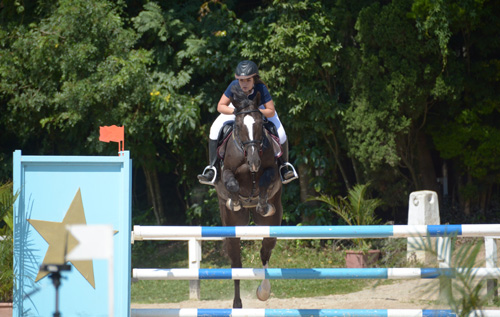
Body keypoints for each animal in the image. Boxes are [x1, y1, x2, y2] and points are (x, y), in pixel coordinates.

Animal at [214, 82, 284, 308]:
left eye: (260, 124)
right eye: (239, 125)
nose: (254, 162)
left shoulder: (270, 171)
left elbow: (263, 181)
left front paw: (262, 203)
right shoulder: (227, 171)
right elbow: (232, 183)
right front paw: (235, 200)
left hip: (270, 223)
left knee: (265, 252)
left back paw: (263, 292)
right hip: (232, 226)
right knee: (236, 262)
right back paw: (237, 304)